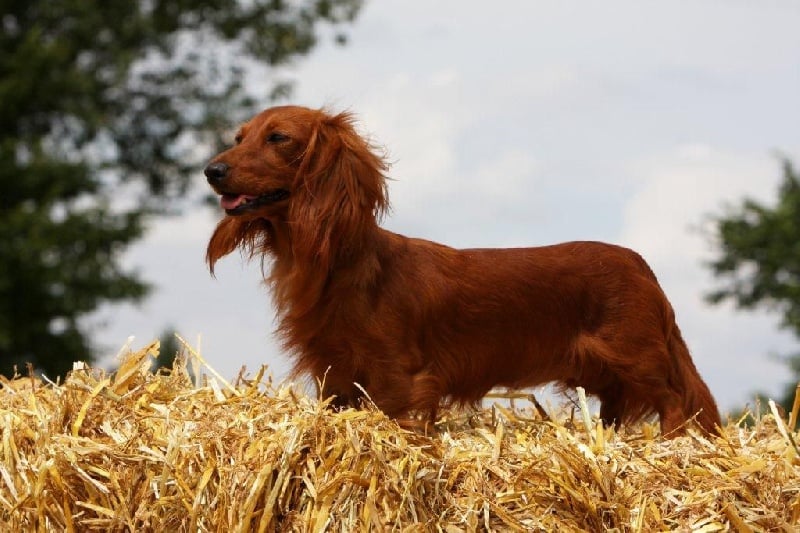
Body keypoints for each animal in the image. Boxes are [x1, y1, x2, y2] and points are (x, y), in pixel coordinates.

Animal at [203, 105, 720, 436]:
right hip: (609, 374)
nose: (211, 170)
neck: (342, 266)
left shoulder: (400, 381)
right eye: (239, 137)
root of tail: (640, 263)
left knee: (677, 404)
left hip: (637, 359)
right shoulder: (335, 376)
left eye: (278, 138)